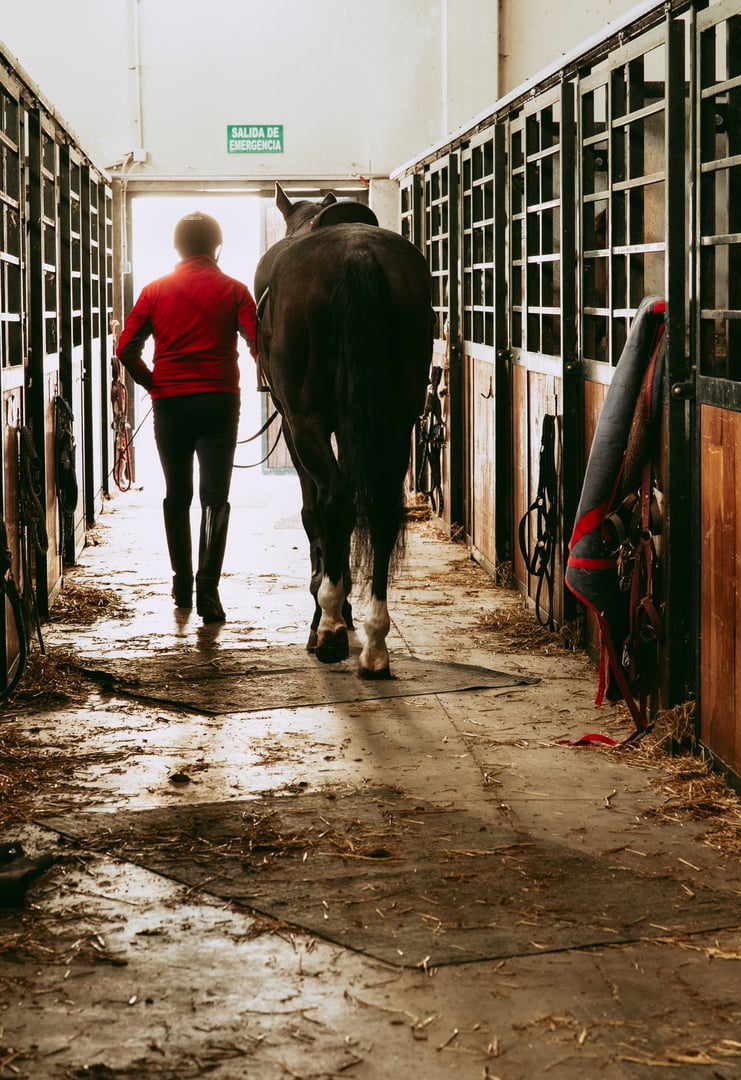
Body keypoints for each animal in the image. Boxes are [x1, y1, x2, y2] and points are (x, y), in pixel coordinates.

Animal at [253, 183, 434, 679]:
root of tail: (358, 256)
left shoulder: (294, 429)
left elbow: (313, 511)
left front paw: (325, 608)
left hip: (307, 422)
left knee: (334, 498)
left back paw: (332, 626)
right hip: (396, 421)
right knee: (382, 510)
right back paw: (375, 644)